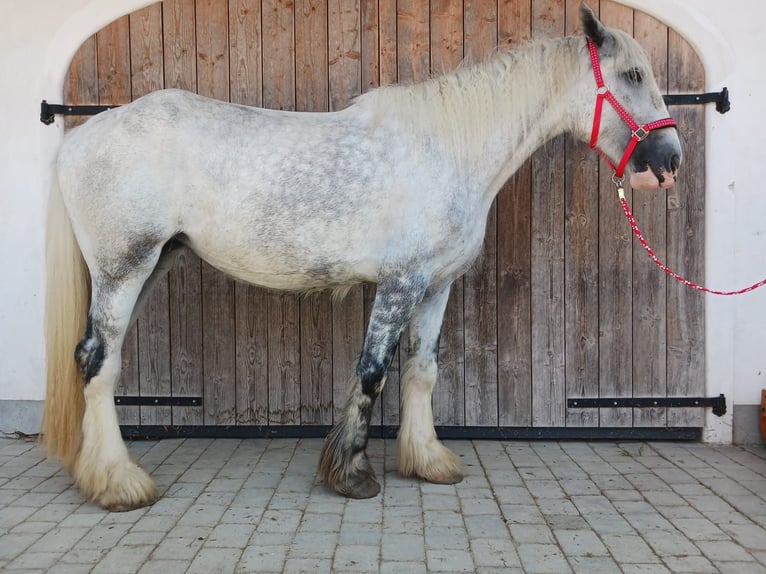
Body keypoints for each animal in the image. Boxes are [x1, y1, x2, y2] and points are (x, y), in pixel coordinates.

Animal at [43, 3, 681, 511]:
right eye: (632, 74)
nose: (669, 159)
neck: (447, 147)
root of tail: (79, 140)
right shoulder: (400, 282)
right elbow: (372, 370)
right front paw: (351, 474)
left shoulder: (435, 285)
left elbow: (421, 370)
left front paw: (428, 461)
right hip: (124, 267)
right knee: (98, 361)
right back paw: (119, 483)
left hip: (150, 266)